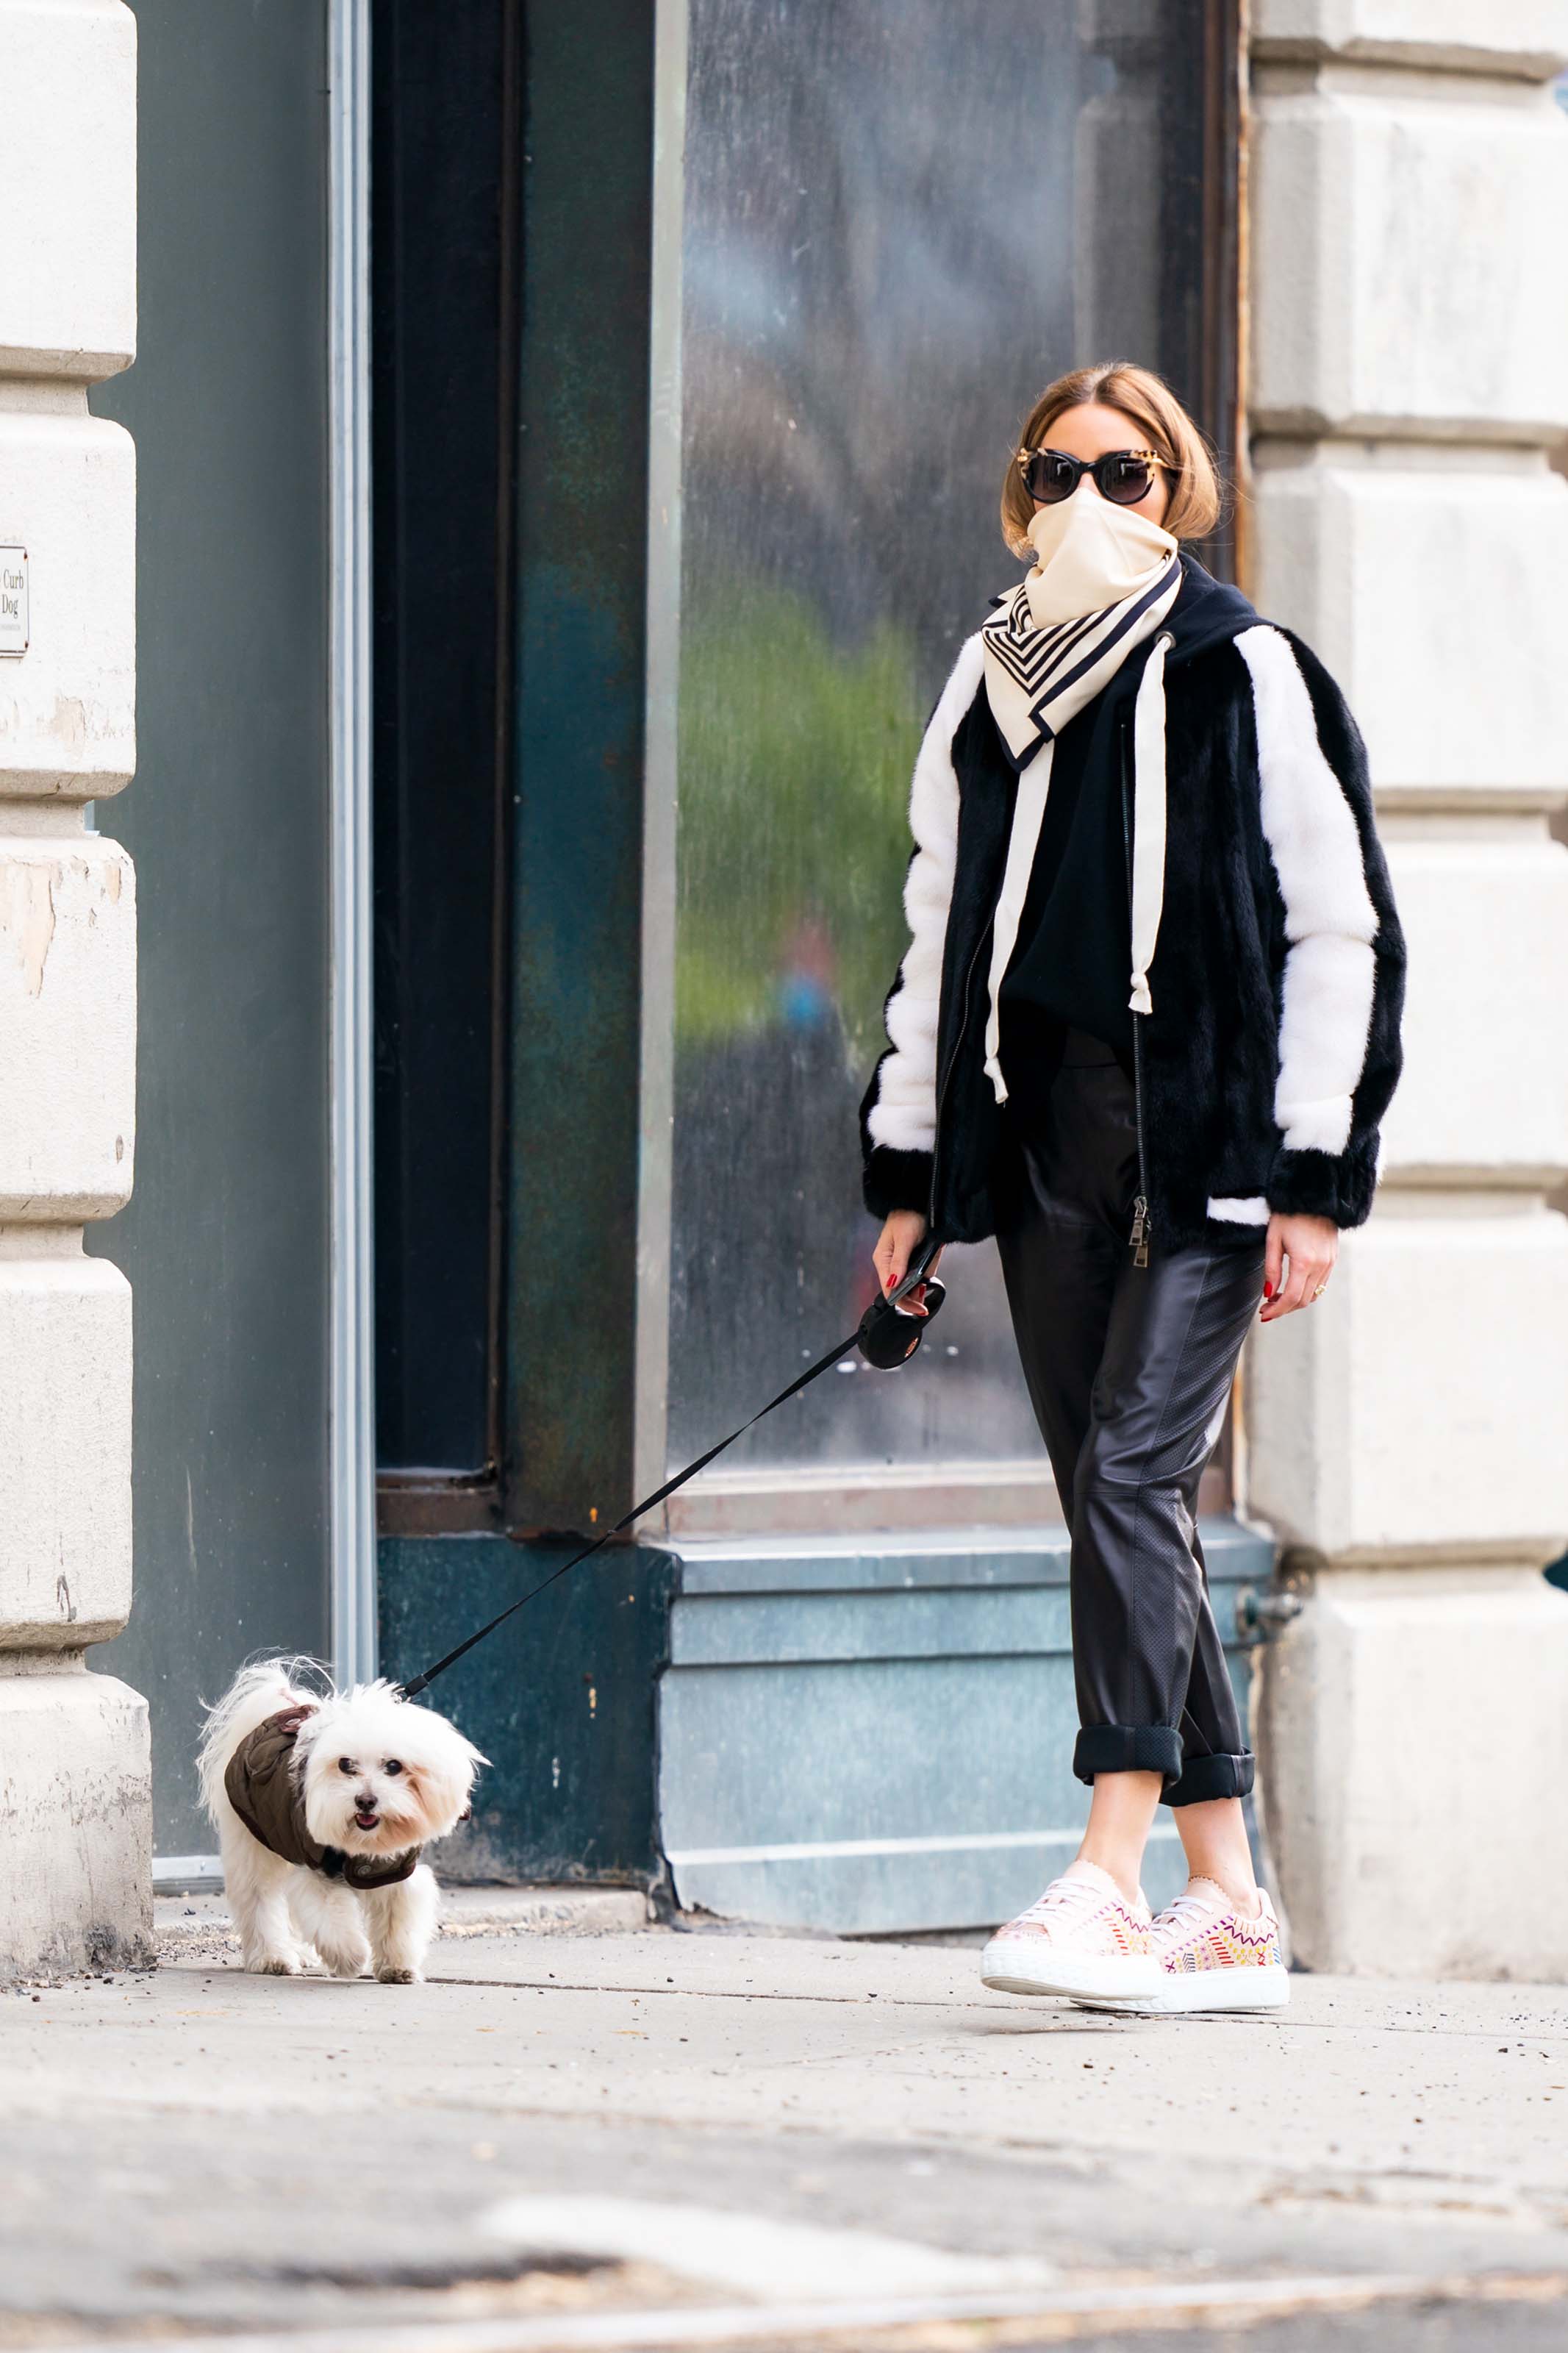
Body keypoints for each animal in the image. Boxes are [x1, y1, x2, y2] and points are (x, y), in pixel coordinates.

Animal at [199, 1656, 486, 1985]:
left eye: (394, 1766)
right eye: (346, 1764)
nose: (365, 1800)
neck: (366, 1844)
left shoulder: (396, 1871)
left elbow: (397, 1916)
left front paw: (397, 1966)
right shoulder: (317, 1868)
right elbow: (329, 1916)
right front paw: (350, 1957)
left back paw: (301, 1954)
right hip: (254, 1842)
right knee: (261, 1898)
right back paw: (273, 1958)